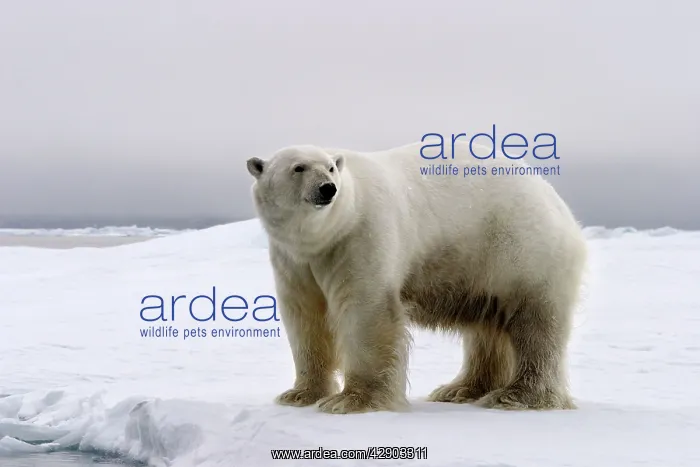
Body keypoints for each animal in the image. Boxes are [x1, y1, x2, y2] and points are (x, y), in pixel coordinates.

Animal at [245, 139, 587, 415]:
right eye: (298, 167)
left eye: (330, 167)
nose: (328, 188)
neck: (326, 234)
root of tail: (555, 199)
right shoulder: (293, 260)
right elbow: (305, 318)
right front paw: (299, 394)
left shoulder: (361, 236)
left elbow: (365, 310)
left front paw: (351, 400)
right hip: (483, 267)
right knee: (488, 328)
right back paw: (460, 389)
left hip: (521, 252)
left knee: (535, 324)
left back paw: (516, 396)